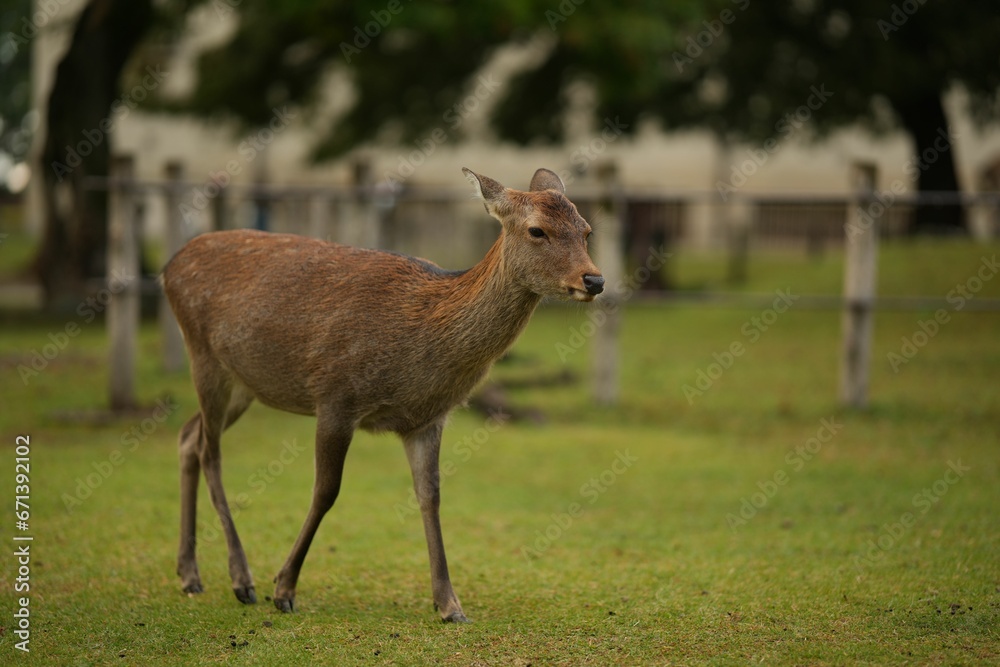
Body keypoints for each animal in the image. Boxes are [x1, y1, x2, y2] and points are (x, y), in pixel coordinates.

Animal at [161, 167, 604, 623]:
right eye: (537, 230)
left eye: (586, 229)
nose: (595, 279)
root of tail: (168, 266)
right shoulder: (336, 396)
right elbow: (326, 491)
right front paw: (284, 588)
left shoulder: (427, 419)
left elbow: (431, 497)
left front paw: (449, 604)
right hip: (204, 357)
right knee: (210, 451)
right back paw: (241, 579)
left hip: (244, 383)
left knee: (188, 436)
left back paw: (189, 574)